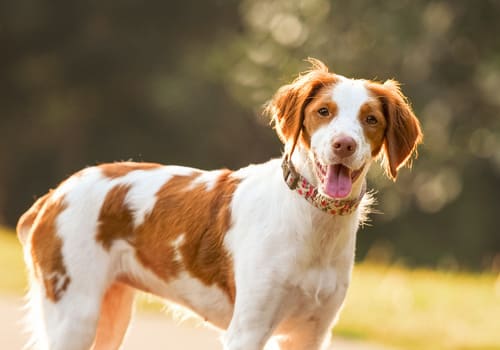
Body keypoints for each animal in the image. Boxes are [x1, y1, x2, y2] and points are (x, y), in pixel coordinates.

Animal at [16, 58, 422, 348]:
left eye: (370, 119)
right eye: (324, 111)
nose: (344, 145)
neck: (312, 223)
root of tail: (54, 194)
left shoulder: (310, 333)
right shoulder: (249, 328)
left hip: (110, 314)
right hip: (75, 314)